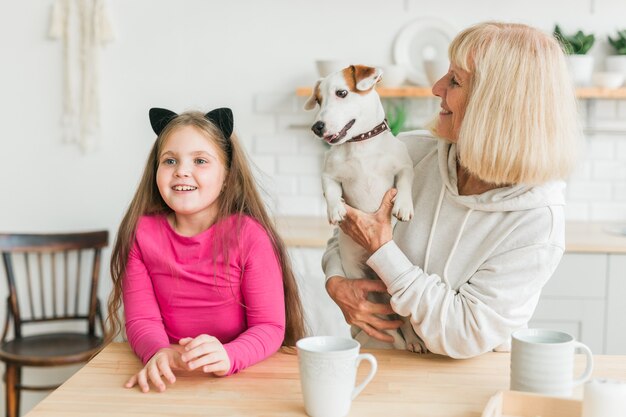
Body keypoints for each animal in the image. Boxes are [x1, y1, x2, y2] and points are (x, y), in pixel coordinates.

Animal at [304, 63, 416, 350]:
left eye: (342, 93)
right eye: (318, 100)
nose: (317, 127)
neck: (361, 145)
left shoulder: (403, 166)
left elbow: (405, 182)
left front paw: (403, 206)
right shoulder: (330, 175)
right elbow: (331, 192)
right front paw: (336, 210)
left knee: (404, 319)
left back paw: (412, 340)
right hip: (363, 287)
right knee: (390, 325)